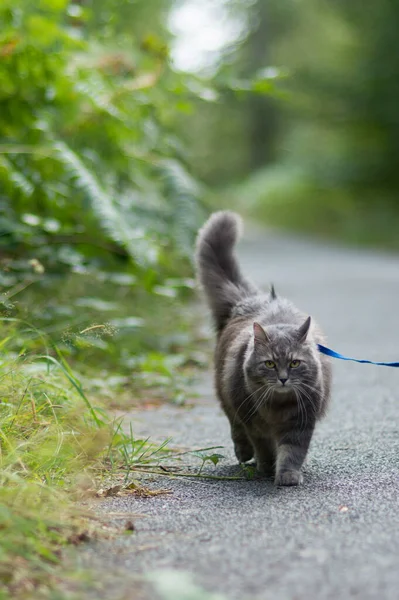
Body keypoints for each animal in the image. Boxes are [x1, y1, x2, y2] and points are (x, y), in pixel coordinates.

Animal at [196, 213, 332, 486]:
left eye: (294, 363)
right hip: (227, 396)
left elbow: (292, 451)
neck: (278, 407)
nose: (283, 379)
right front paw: (267, 468)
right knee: (236, 430)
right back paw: (245, 454)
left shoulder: (301, 422)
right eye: (269, 363)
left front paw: (288, 475)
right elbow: (264, 447)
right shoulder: (254, 422)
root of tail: (251, 299)